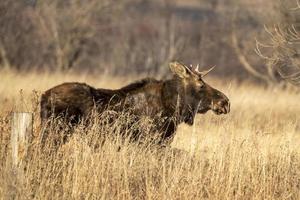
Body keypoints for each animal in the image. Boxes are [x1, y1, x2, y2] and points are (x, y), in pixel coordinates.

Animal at [40, 61, 230, 145]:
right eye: (201, 84)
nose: (225, 102)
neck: (174, 107)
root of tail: (43, 97)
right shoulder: (151, 141)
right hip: (56, 132)